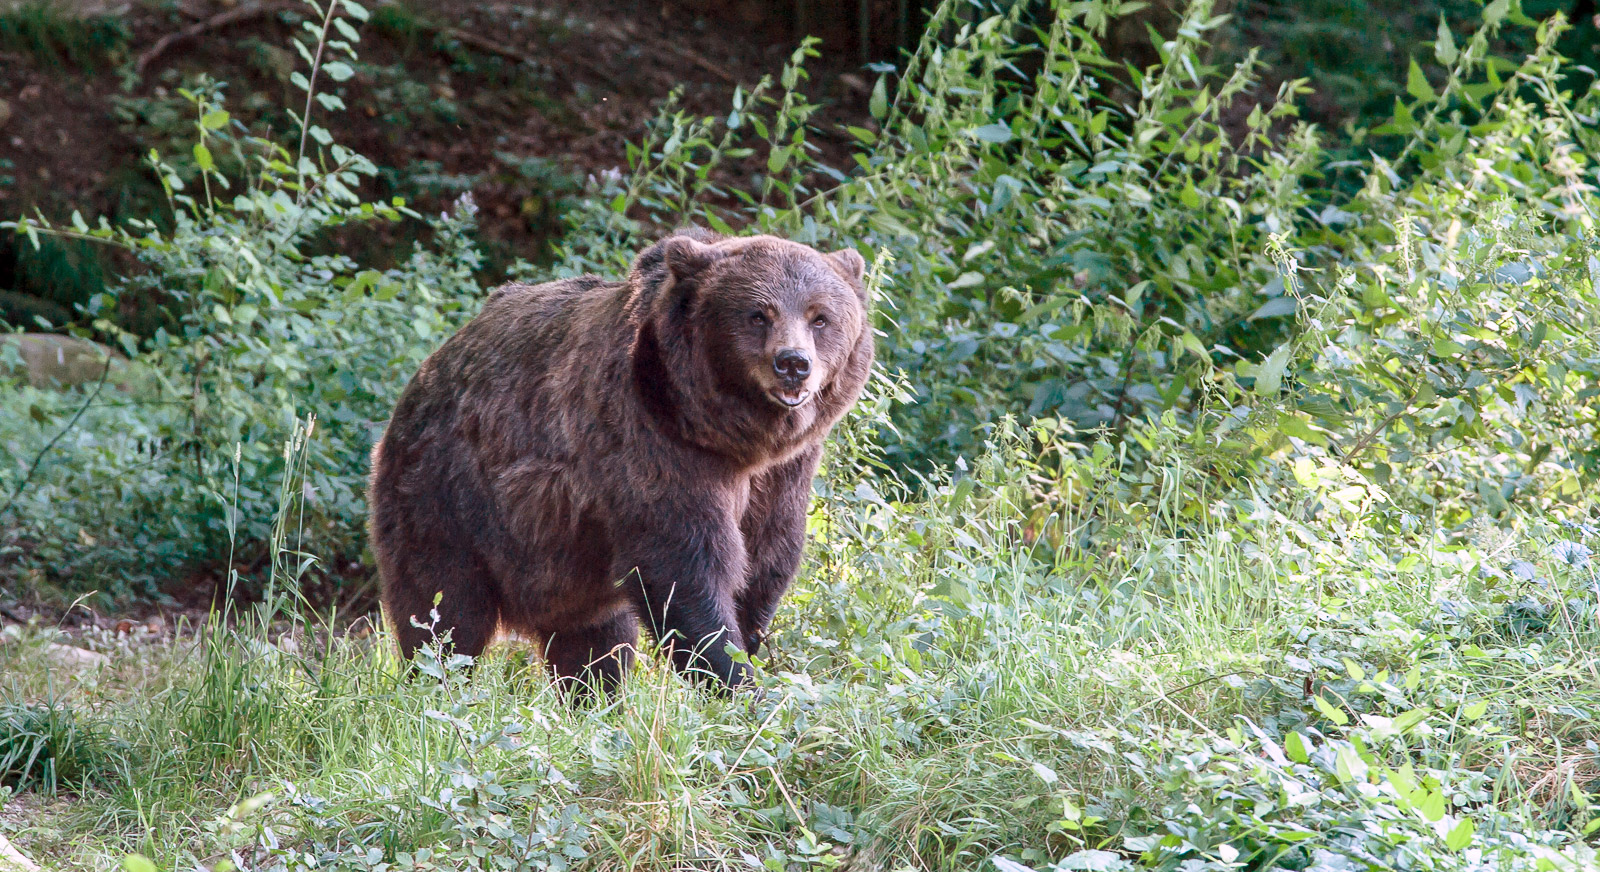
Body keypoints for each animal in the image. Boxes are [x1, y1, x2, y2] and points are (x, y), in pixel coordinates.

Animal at [367, 228, 873, 694]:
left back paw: (593, 697)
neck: (735, 439)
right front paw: (733, 680)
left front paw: (747, 646)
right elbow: (683, 566)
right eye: (757, 314)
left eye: (820, 317)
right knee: (445, 609)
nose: (793, 363)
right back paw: (438, 683)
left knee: (595, 640)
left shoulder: (785, 474)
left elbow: (766, 560)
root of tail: (432, 364)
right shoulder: (651, 444)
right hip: (448, 495)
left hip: (563, 565)